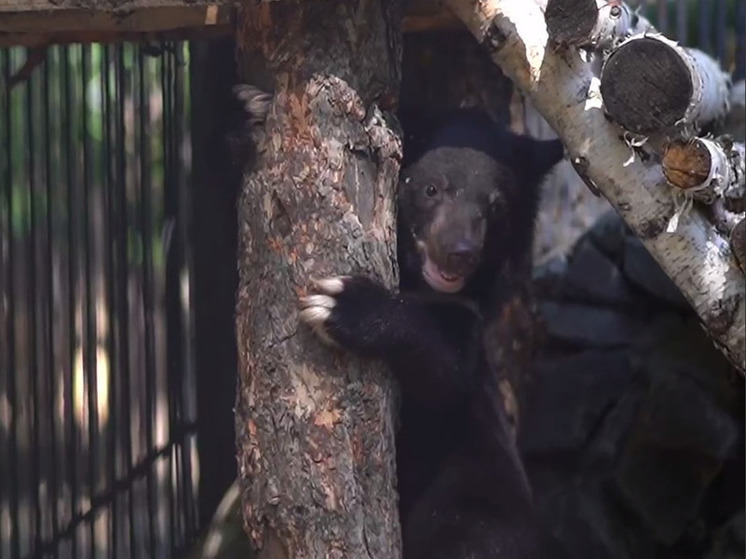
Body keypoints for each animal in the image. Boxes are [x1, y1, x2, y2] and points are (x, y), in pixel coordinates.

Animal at [300, 107, 560, 556]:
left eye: (497, 207)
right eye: (431, 189)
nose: (460, 253)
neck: (422, 286)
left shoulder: (466, 327)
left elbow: (445, 374)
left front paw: (338, 303)